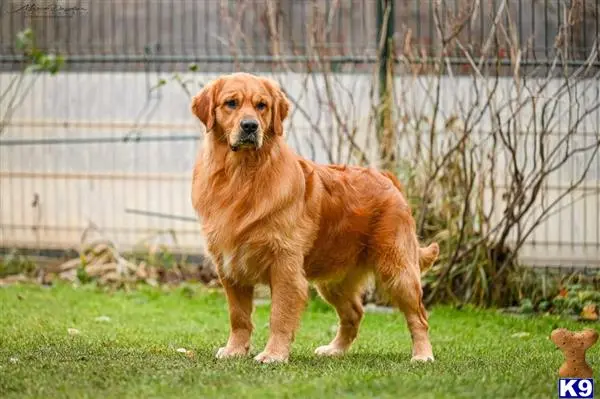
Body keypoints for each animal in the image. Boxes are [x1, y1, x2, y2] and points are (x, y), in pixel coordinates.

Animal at [192, 72, 440, 366]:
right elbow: (238, 317)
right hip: (333, 281)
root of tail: (386, 177)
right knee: (354, 313)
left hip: (398, 270)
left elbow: (279, 316)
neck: (242, 177)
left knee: (419, 317)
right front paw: (235, 350)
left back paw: (422, 354)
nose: (250, 126)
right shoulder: (230, 268)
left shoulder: (285, 266)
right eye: (231, 103)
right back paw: (335, 350)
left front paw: (273, 354)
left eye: (262, 105)